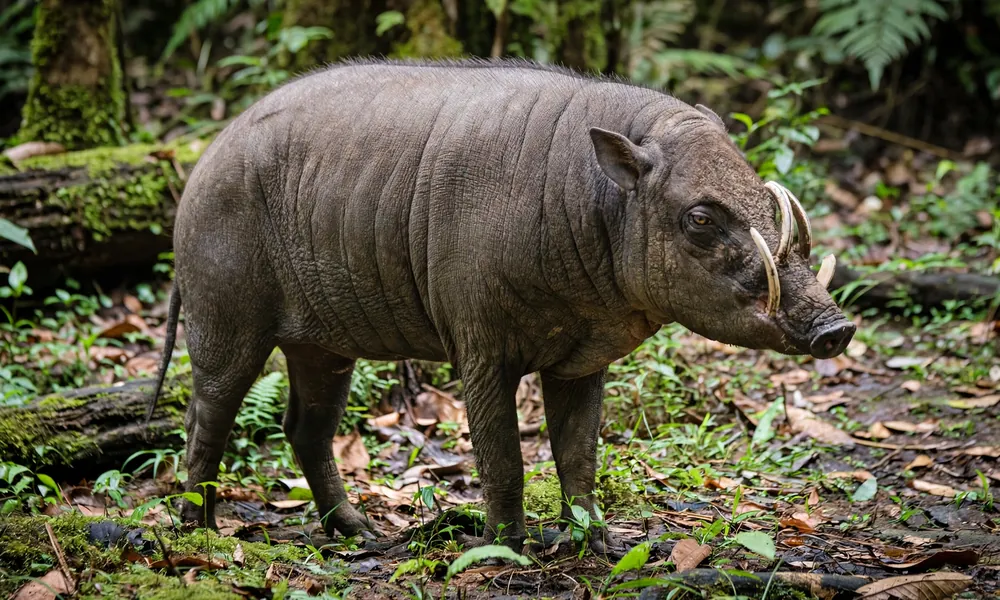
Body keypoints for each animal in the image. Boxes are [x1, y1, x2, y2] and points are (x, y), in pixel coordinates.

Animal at [147, 58, 854, 553]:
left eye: (767, 197)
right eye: (701, 218)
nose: (836, 328)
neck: (585, 204)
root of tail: (198, 166)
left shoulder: (581, 359)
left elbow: (577, 454)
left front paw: (596, 542)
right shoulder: (479, 343)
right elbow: (502, 456)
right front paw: (507, 549)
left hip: (322, 342)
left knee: (306, 428)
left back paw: (359, 533)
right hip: (224, 313)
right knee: (206, 414)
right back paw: (197, 529)